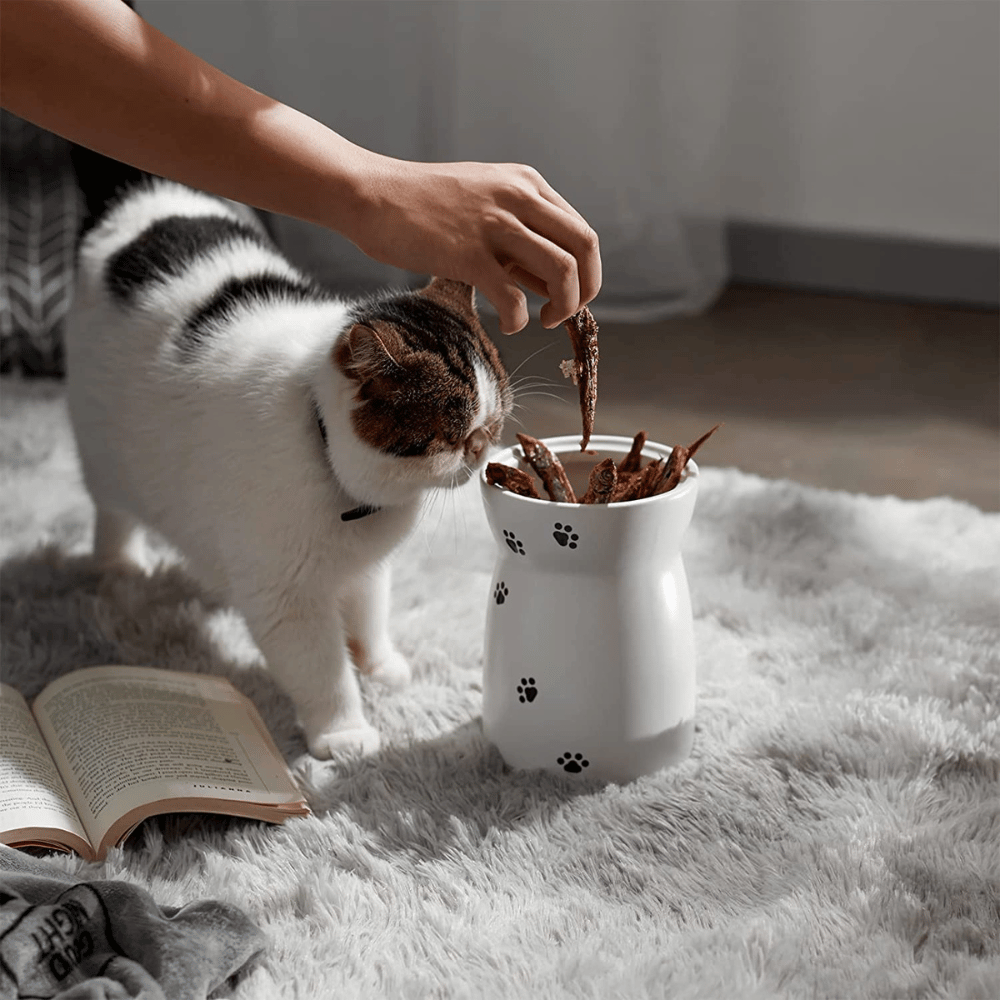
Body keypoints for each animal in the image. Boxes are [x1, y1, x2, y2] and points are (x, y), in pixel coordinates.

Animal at [66, 178, 512, 756]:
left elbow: (369, 613)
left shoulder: (365, 566)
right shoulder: (286, 594)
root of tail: (140, 190)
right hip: (103, 449)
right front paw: (344, 733)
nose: (480, 448)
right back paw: (119, 564)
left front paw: (379, 666)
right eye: (453, 435)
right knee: (112, 508)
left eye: (496, 423)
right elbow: (322, 670)